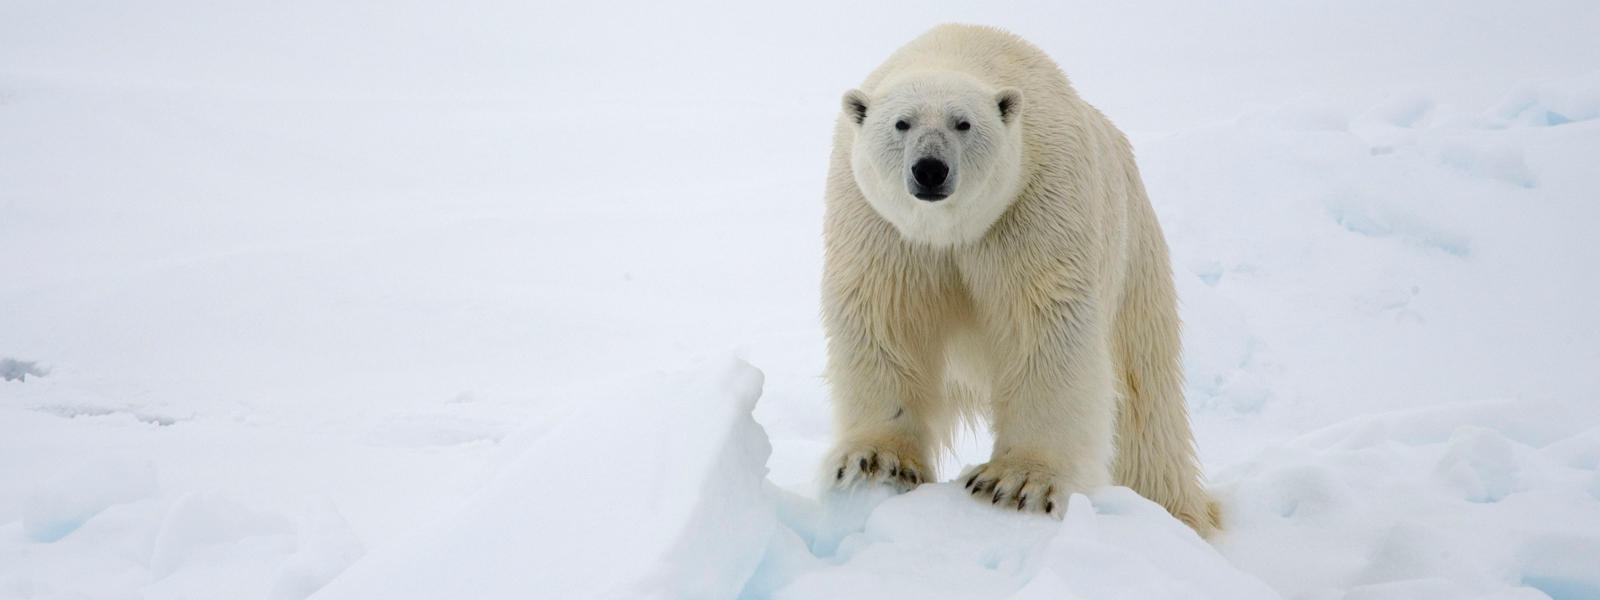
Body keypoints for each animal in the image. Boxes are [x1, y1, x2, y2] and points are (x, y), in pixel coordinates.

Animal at [819, 25, 1216, 537]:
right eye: (901, 124)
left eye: (963, 123)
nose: (930, 169)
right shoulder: (880, 225)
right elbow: (885, 317)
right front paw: (875, 462)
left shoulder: (1035, 203)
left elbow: (1045, 326)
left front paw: (1016, 483)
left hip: (1134, 251)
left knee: (1145, 395)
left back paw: (1175, 510)